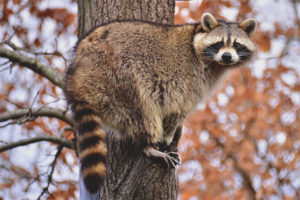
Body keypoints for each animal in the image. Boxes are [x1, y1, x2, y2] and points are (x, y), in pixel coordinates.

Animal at [63, 12, 255, 194]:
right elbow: (177, 109)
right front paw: (169, 135)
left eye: (237, 45)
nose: (227, 56)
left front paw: (177, 135)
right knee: (142, 109)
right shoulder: (188, 79)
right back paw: (148, 145)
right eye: (219, 43)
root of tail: (76, 74)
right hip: (115, 75)